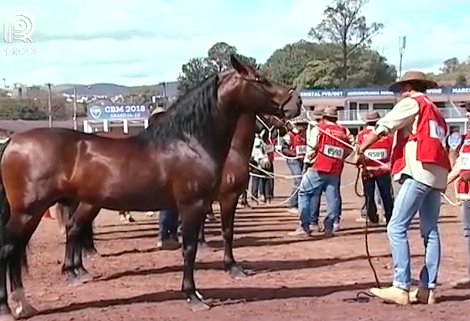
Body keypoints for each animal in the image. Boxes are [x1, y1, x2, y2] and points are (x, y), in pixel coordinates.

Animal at [0, 53, 302, 318]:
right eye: (260, 79)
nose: (296, 101)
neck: (188, 142)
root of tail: (12, 142)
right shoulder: (195, 205)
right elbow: (190, 249)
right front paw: (193, 296)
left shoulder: (204, 204)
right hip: (30, 211)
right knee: (9, 250)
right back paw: (9, 307)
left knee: (21, 250)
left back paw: (26, 303)